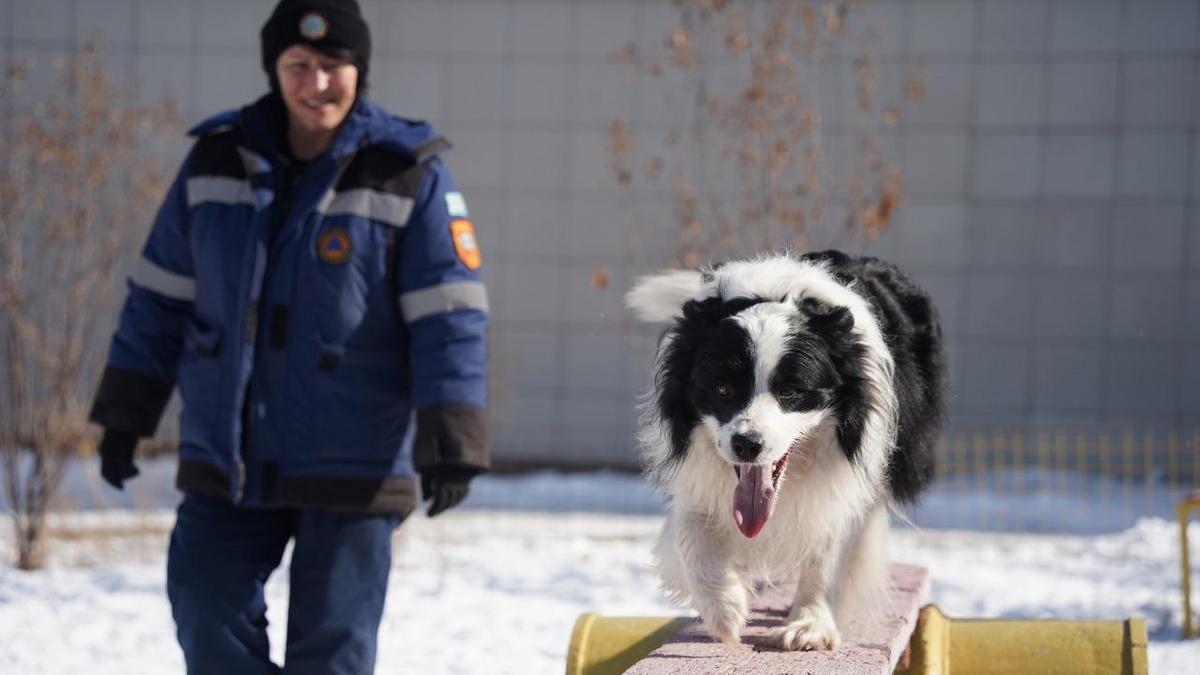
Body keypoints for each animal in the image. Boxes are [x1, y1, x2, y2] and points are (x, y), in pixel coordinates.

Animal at [628, 251, 945, 648]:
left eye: (791, 391)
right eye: (721, 389)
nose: (747, 445)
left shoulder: (852, 468)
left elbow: (831, 544)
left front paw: (811, 626)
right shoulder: (696, 469)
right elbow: (690, 527)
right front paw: (725, 609)